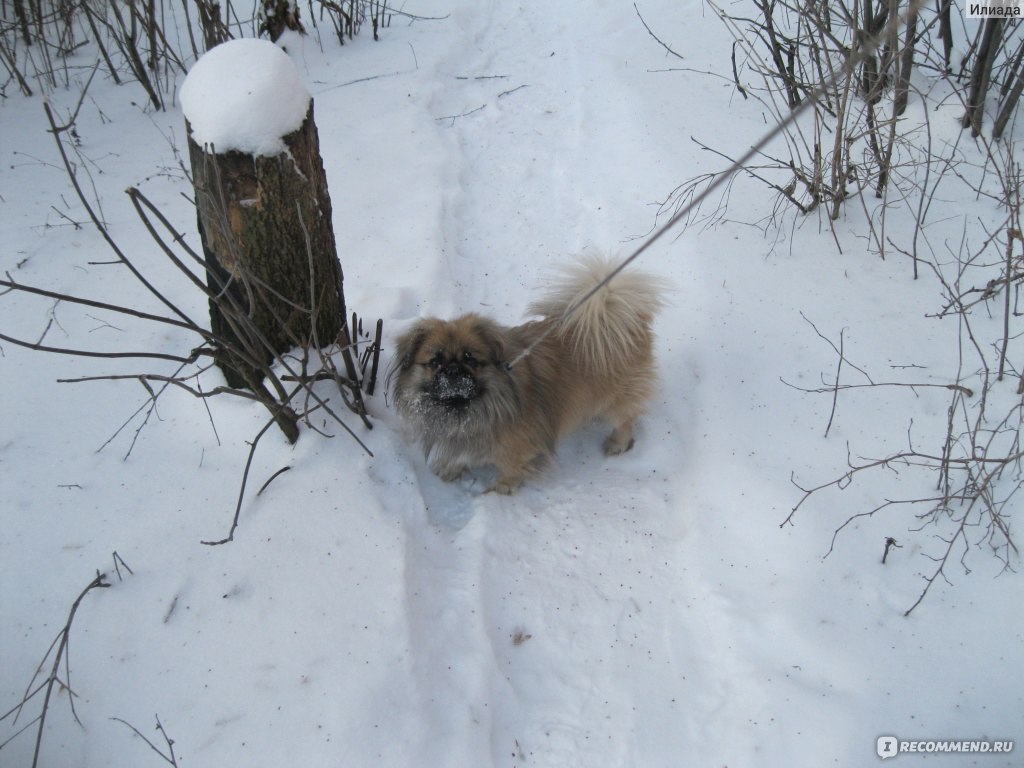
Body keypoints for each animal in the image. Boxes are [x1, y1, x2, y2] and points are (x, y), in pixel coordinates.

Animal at [385, 256, 663, 495]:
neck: (467, 410)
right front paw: (451, 469)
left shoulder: (517, 449)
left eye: (470, 359)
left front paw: (500, 490)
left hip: (617, 399)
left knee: (626, 418)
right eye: (435, 362)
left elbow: (510, 469)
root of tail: (614, 311)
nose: (453, 370)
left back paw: (617, 443)